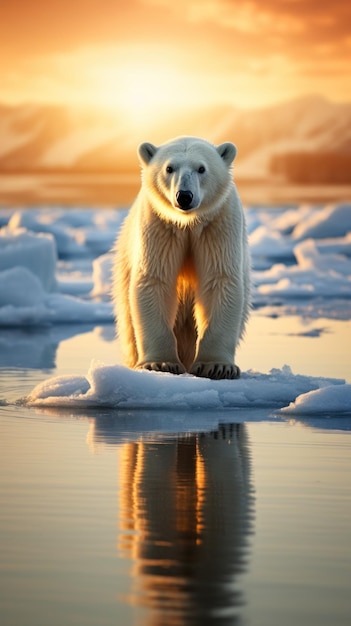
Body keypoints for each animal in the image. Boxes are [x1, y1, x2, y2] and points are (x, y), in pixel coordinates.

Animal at [113, 136, 250, 378]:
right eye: (169, 168)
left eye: (201, 168)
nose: (184, 196)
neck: (188, 223)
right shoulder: (160, 223)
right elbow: (155, 280)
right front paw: (159, 363)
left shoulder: (218, 222)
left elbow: (220, 280)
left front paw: (217, 366)